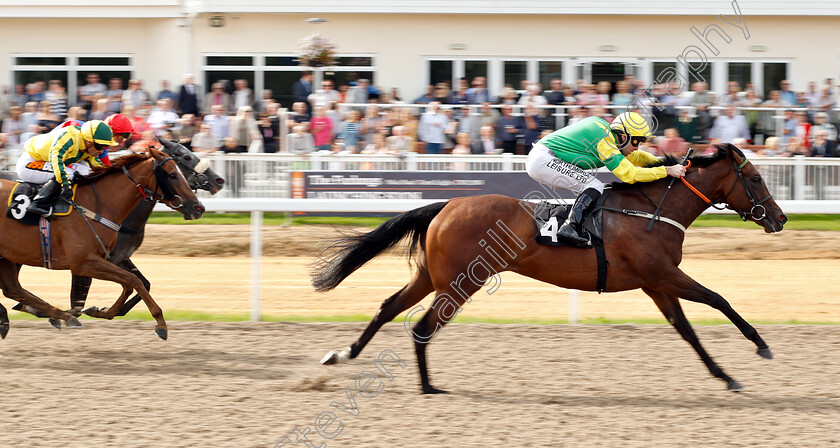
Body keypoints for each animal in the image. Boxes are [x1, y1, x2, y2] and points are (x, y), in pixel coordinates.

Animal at [0, 148, 204, 340]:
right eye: (173, 174)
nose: (198, 207)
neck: (98, 206)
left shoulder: (110, 258)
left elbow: (134, 283)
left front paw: (102, 311)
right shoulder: (83, 262)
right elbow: (132, 281)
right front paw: (161, 324)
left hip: (10, 255)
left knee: (13, 289)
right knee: (13, 289)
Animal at [314, 143, 788, 392]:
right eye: (756, 179)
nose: (780, 218)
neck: (654, 210)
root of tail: (447, 205)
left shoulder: (656, 284)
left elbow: (687, 330)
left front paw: (725, 376)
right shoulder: (663, 275)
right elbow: (719, 299)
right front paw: (761, 345)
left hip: (432, 275)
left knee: (388, 307)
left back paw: (344, 354)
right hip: (463, 281)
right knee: (423, 325)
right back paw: (429, 386)